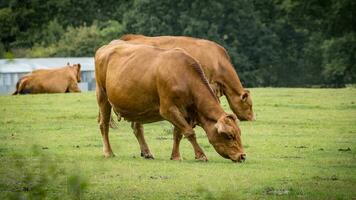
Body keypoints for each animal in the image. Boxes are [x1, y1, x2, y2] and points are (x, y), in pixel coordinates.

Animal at [94, 39, 245, 162]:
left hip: (137, 105)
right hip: (102, 95)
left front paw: (176, 156)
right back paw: (108, 152)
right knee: (104, 125)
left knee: (137, 128)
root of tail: (106, 47)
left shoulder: (184, 112)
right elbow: (189, 132)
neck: (185, 77)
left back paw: (147, 152)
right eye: (230, 135)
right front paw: (201, 155)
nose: (242, 156)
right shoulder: (168, 109)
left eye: (239, 133)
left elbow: (178, 133)